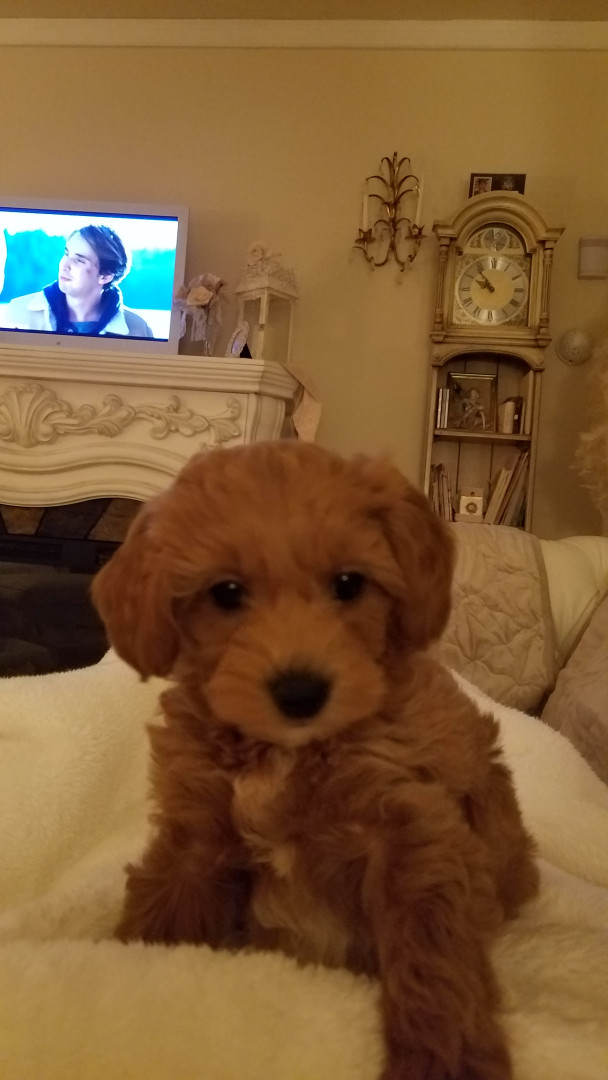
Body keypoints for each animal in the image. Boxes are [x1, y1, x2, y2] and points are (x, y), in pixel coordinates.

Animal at [92, 440, 539, 1080]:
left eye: (348, 584)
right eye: (226, 593)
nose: (301, 692)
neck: (287, 752)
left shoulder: (418, 833)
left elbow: (434, 957)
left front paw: (446, 1059)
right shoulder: (196, 834)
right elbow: (162, 910)